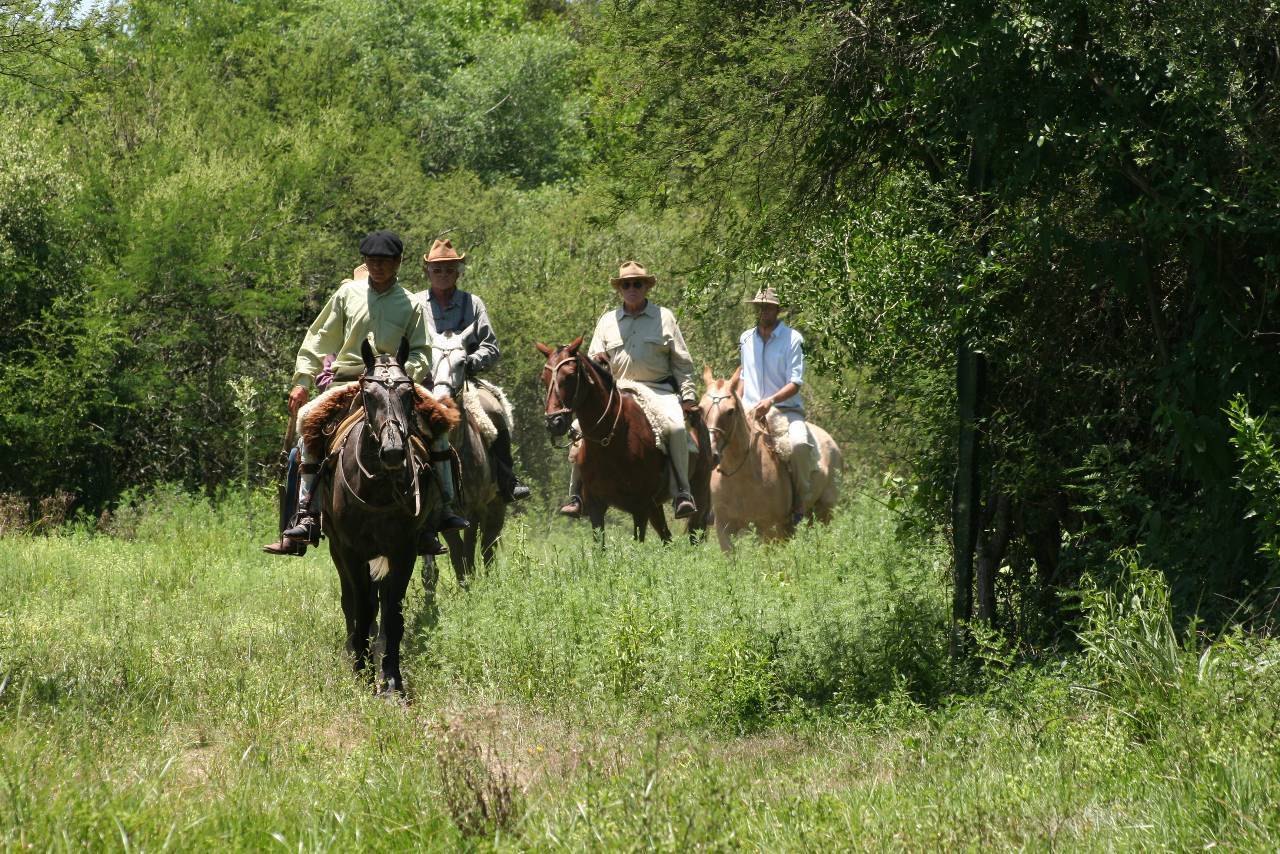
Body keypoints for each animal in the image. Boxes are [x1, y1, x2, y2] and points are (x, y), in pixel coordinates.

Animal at [303, 335, 455, 696]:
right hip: (338, 550)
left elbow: (393, 611)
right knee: (352, 602)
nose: (394, 452)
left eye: (408, 393)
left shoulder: (404, 549)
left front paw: (392, 681)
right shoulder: (351, 550)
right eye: (368, 394)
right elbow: (362, 607)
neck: (378, 486)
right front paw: (363, 673)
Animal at [424, 322, 504, 594]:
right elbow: (457, 550)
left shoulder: (475, 508)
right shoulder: (446, 513)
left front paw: (472, 584)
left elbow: (469, 547)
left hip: (496, 504)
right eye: (431, 360)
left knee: (489, 543)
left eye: (461, 362)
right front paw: (464, 586)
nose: (440, 400)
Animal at [532, 338, 711, 545]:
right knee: (666, 538)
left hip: (698, 494)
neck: (610, 442)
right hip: (655, 507)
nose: (554, 422)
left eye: (569, 376)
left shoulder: (640, 507)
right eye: (543, 378)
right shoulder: (596, 507)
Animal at [701, 363, 839, 550]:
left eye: (730, 411)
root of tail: (831, 441)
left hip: (824, 511)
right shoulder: (724, 528)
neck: (741, 475)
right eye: (700, 408)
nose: (711, 454)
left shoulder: (770, 529)